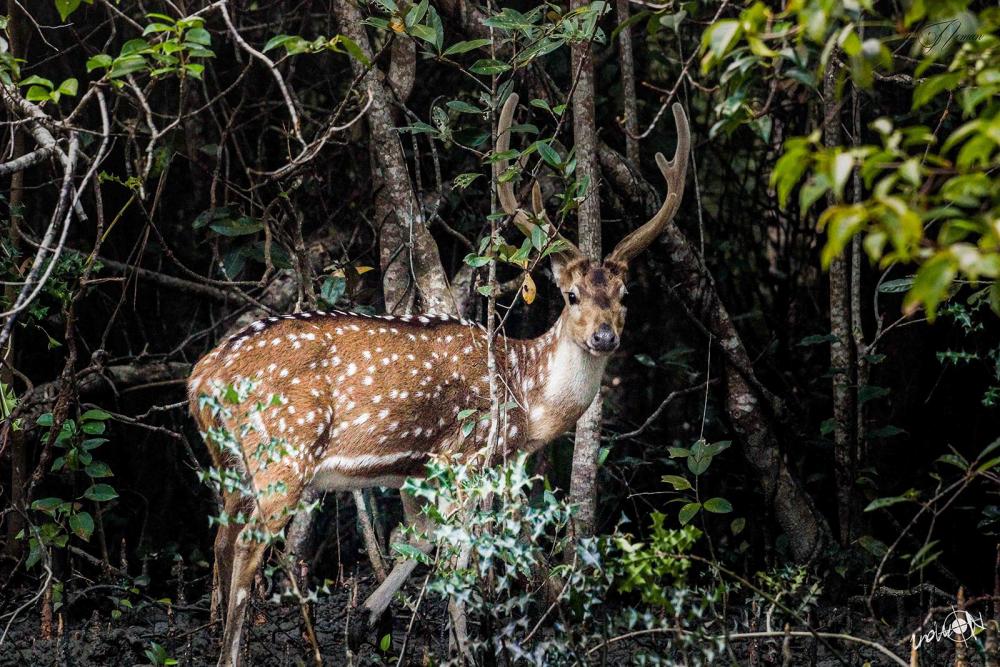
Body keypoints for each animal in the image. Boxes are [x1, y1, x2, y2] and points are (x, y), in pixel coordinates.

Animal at [188, 92, 688, 664]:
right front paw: (463, 647)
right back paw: (232, 650)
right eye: (571, 296)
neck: (526, 398)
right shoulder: (464, 454)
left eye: (625, 296)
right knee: (248, 544)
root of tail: (200, 377)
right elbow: (457, 558)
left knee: (221, 539)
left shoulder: (424, 468)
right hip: (283, 450)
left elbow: (421, 537)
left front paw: (365, 620)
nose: (605, 337)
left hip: (229, 459)